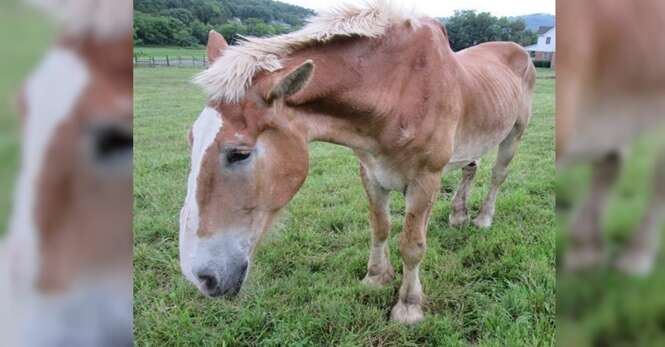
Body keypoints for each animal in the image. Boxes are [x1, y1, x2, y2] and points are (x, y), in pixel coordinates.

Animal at [182, 1, 536, 324]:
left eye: (239, 153)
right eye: (191, 139)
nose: (201, 277)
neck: (398, 91)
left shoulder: (425, 180)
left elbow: (412, 245)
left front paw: (408, 306)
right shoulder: (371, 173)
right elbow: (380, 227)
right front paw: (376, 277)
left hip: (514, 135)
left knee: (497, 176)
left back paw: (482, 219)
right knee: (470, 168)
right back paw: (459, 215)